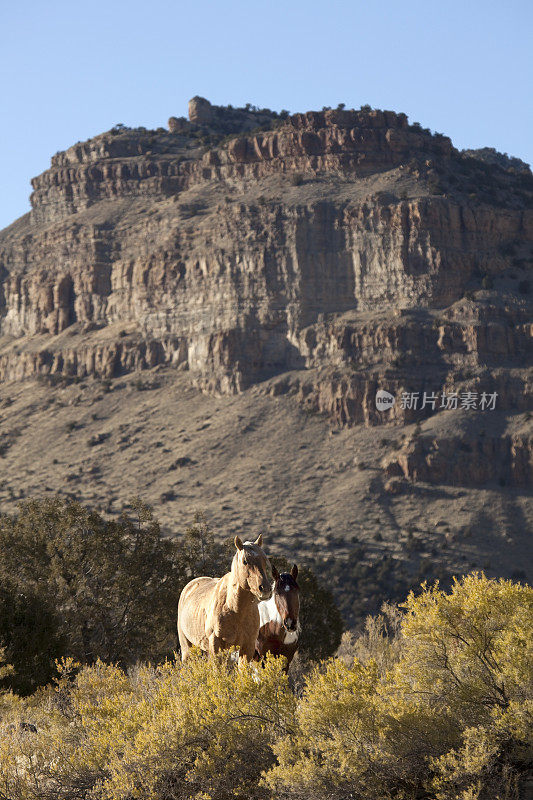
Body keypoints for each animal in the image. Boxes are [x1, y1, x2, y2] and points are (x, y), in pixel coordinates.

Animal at [178, 536, 272, 664]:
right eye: (245, 561)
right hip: (187, 648)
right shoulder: (216, 645)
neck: (235, 609)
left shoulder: (247, 647)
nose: (265, 589)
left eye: (264, 560)